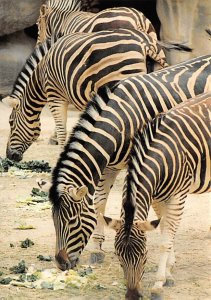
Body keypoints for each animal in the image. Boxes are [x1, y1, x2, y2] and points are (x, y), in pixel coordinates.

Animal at [2, 28, 169, 162]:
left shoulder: (55, 96)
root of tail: (145, 43)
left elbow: (63, 131)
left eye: (11, 122)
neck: (40, 77)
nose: (9, 156)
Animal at [46, 54, 211, 272]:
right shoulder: (109, 167)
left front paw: (170, 258)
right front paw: (97, 249)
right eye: (53, 219)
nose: (61, 264)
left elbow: (158, 212)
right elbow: (99, 203)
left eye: (72, 221)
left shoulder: (148, 162)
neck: (119, 122)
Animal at [104, 92, 211, 298]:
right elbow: (164, 231)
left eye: (144, 255)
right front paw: (169, 272)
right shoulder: (158, 197)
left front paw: (158, 283)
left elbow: (165, 240)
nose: (132, 296)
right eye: (118, 256)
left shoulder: (178, 196)